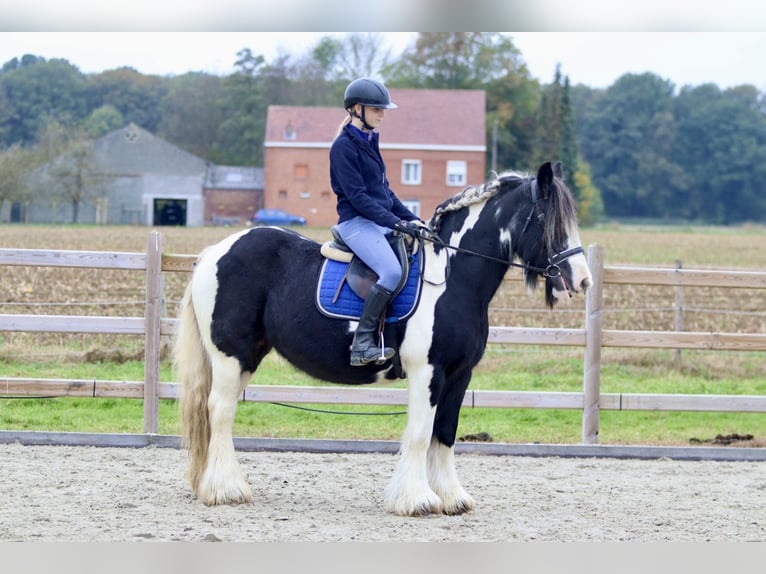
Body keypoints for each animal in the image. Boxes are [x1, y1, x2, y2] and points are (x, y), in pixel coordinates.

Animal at [174, 161, 592, 516]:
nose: (583, 280)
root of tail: (213, 252)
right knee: (220, 412)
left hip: (248, 356)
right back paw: (227, 490)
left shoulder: (459, 374)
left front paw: (451, 498)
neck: (452, 276)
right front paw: (417, 500)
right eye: (547, 219)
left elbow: (446, 432)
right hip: (230, 355)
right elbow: (420, 433)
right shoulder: (428, 371)